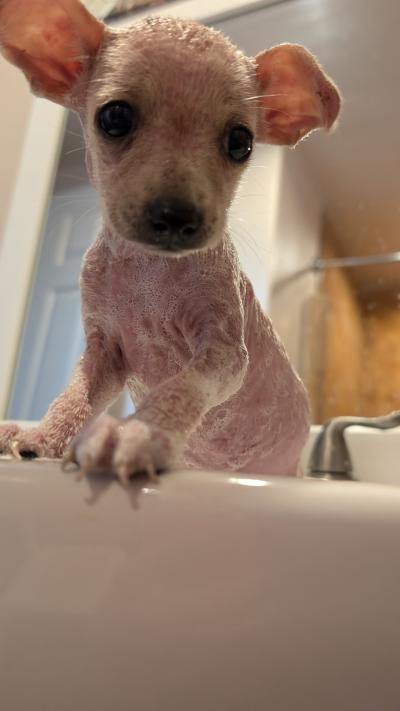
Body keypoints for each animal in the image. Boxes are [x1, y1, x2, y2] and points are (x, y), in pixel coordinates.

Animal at [0, 0, 340, 484]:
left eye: (241, 142)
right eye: (114, 118)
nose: (176, 216)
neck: (149, 269)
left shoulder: (223, 352)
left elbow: (182, 385)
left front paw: (135, 433)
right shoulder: (105, 353)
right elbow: (75, 396)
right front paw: (43, 437)